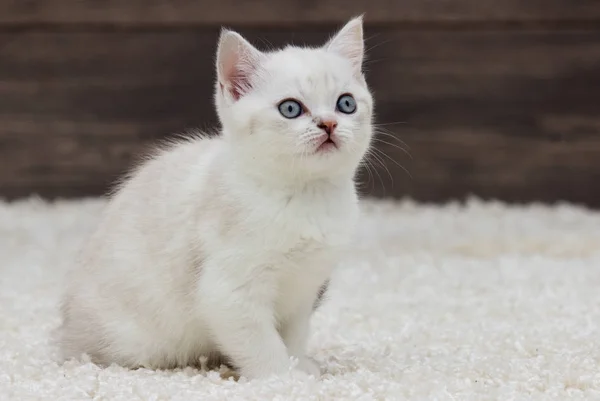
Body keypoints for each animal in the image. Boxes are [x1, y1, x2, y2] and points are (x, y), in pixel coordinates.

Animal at [58, 15, 372, 378]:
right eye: (291, 108)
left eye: (346, 104)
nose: (329, 123)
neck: (306, 195)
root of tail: (64, 331)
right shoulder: (228, 292)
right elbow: (261, 344)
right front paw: (284, 378)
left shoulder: (304, 289)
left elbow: (294, 334)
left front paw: (301, 365)